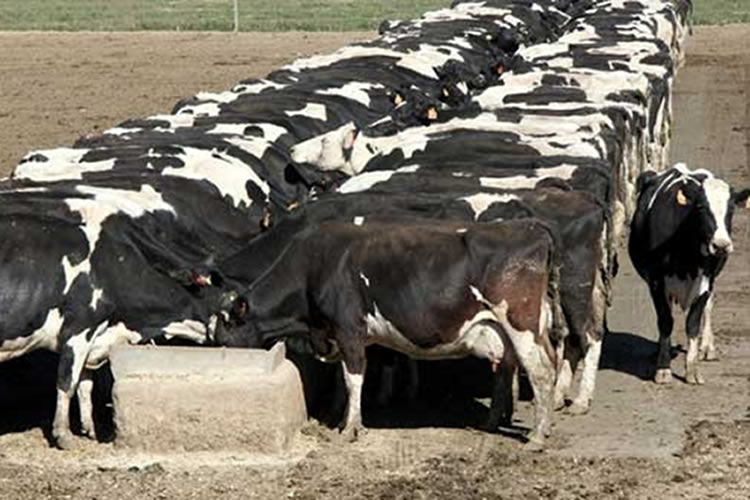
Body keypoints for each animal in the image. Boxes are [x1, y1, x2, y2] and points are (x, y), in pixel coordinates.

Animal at [214, 214, 568, 450]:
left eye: (224, 333)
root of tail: (532, 227)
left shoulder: (349, 329)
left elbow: (353, 379)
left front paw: (352, 428)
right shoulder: (341, 335)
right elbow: (344, 380)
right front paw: (340, 419)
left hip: (520, 322)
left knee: (541, 371)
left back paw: (537, 436)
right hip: (520, 327)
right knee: (522, 365)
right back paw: (503, 424)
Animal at [632, 162, 748, 384]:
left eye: (731, 209)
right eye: (701, 207)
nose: (721, 245)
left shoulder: (704, 283)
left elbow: (693, 323)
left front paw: (692, 370)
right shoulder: (656, 282)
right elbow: (666, 321)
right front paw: (663, 369)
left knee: (709, 308)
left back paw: (707, 348)